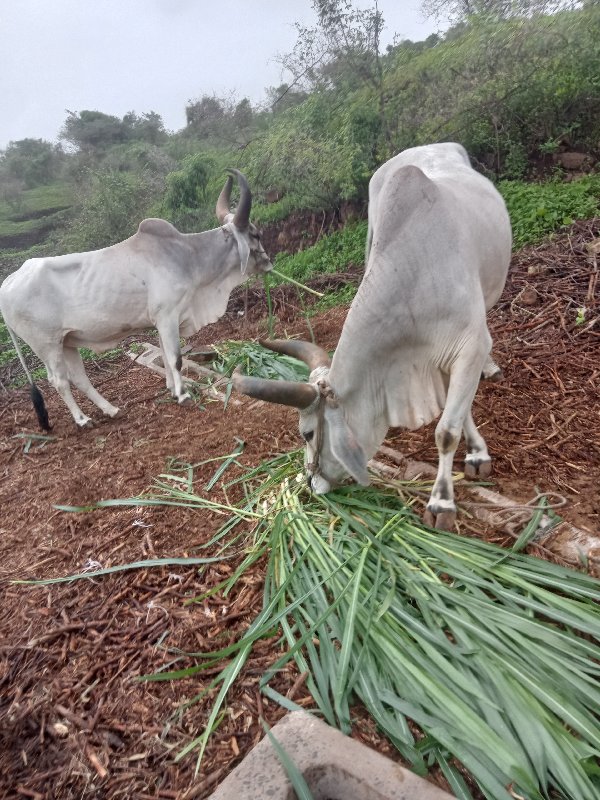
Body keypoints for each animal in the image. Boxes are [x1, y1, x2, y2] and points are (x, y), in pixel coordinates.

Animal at [0, 170, 272, 432]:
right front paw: (183, 395)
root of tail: (8, 282)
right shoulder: (167, 316)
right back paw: (82, 420)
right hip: (47, 345)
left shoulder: (162, 322)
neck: (188, 257)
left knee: (79, 378)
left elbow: (165, 356)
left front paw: (172, 390)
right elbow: (175, 358)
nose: (269, 262)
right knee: (59, 381)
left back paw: (111, 410)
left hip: (67, 341)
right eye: (256, 234)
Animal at [233, 144, 510, 532]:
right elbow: (457, 410)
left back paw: (492, 367)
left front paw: (444, 498)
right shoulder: (437, 362)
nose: (310, 483)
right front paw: (473, 451)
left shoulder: (469, 347)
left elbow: (446, 431)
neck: (413, 276)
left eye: (307, 433)